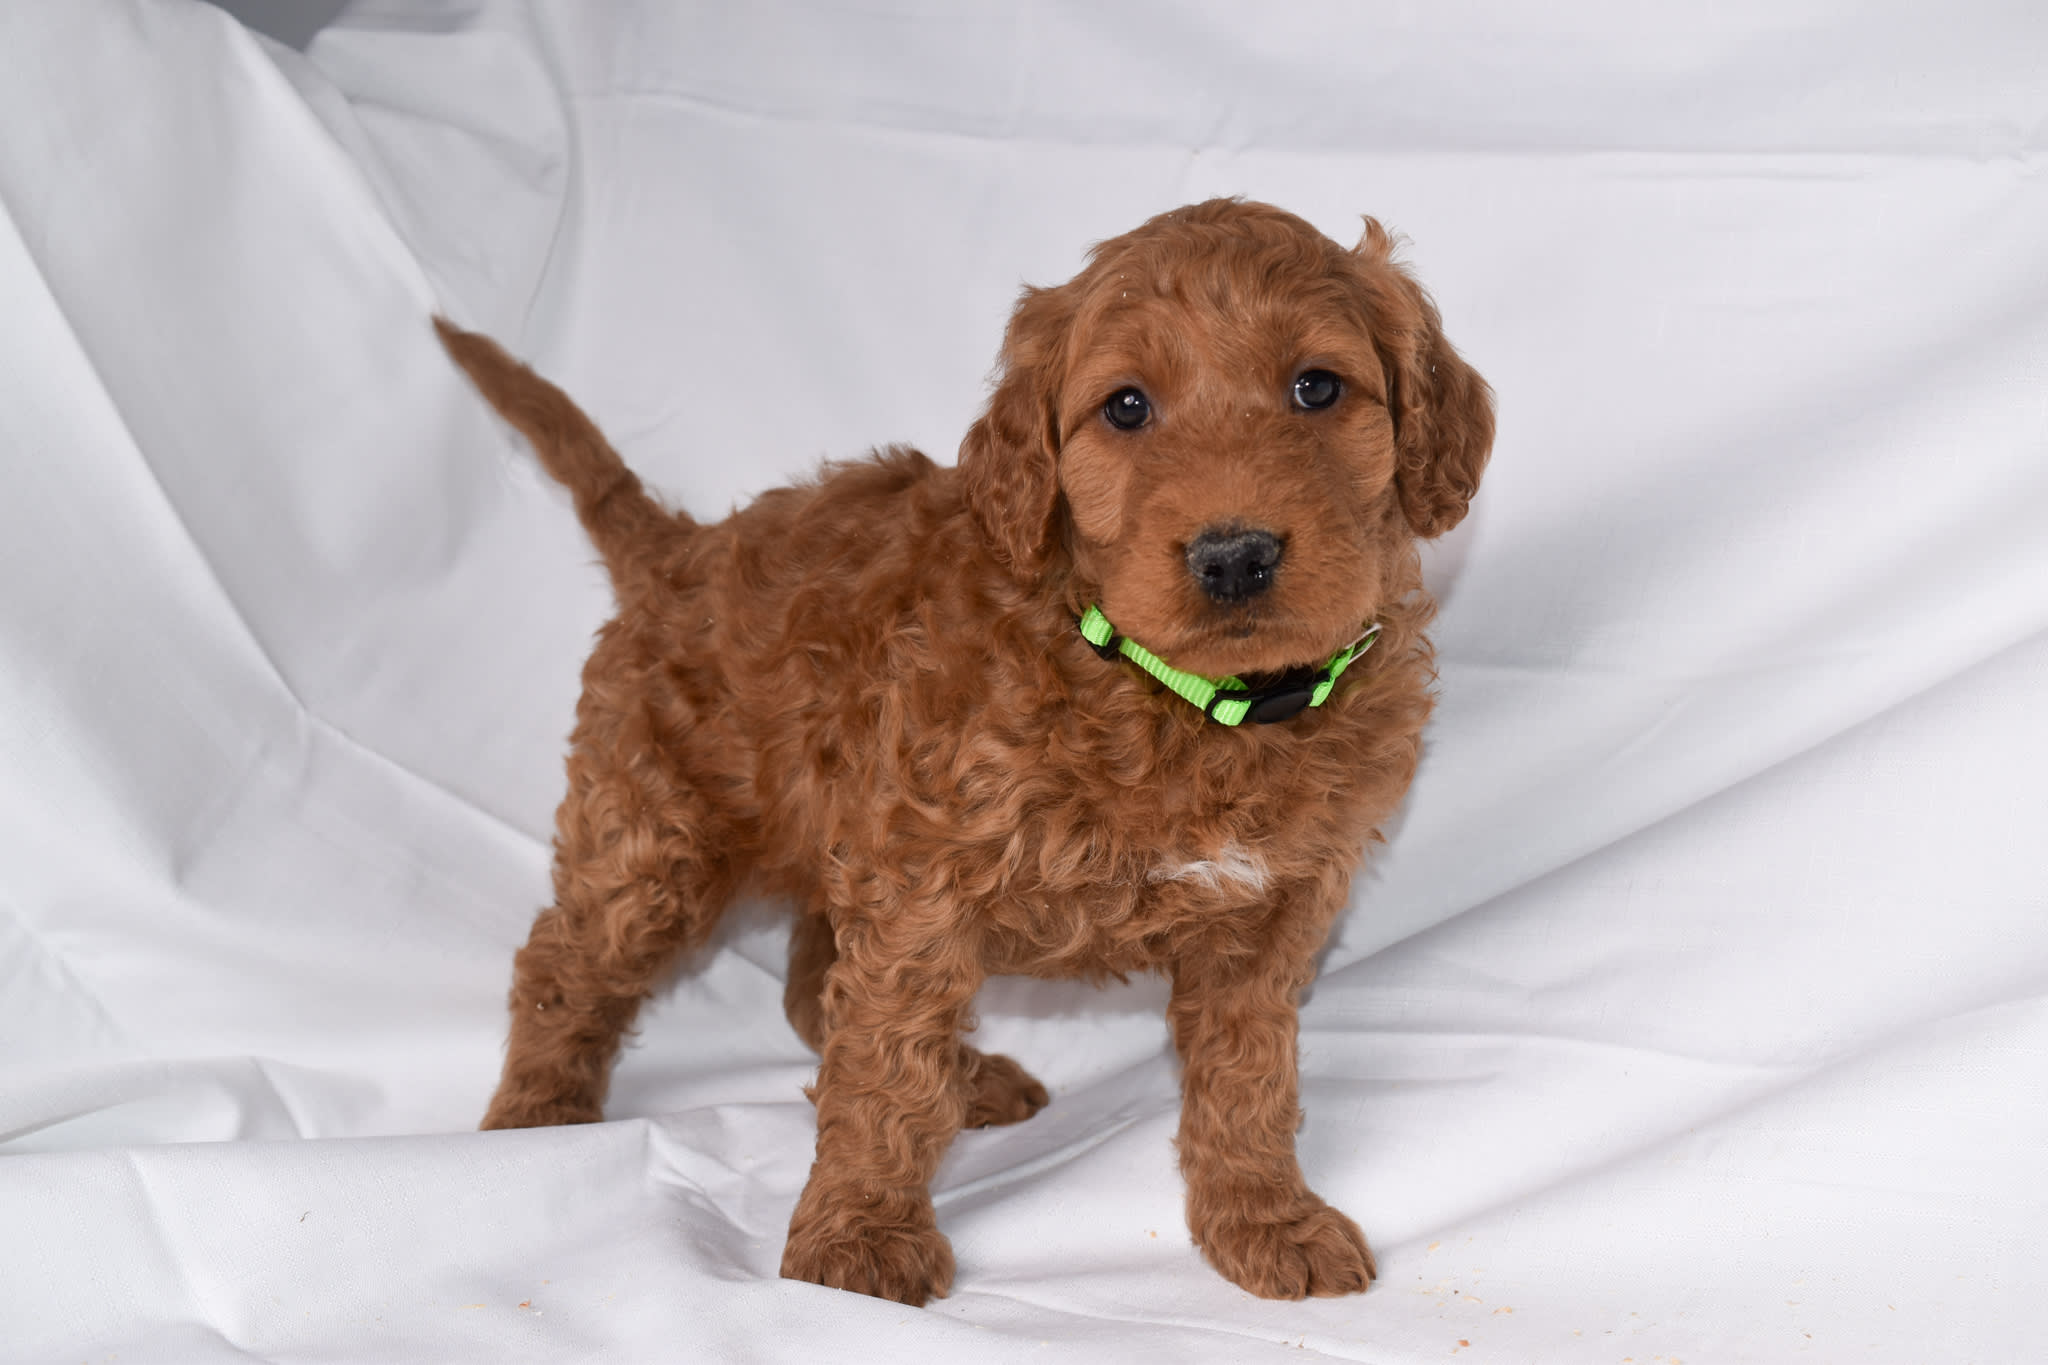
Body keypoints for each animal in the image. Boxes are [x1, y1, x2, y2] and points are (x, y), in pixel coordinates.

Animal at [436, 197, 1490, 1309]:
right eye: (1125, 407)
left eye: (1316, 387)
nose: (1235, 555)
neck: (1182, 699)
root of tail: (679, 550)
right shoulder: (922, 882)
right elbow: (885, 1063)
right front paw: (857, 1238)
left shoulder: (1266, 913)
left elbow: (1248, 1078)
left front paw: (1261, 1217)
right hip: (656, 834)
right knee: (567, 958)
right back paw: (534, 1116)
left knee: (810, 979)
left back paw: (968, 1078)